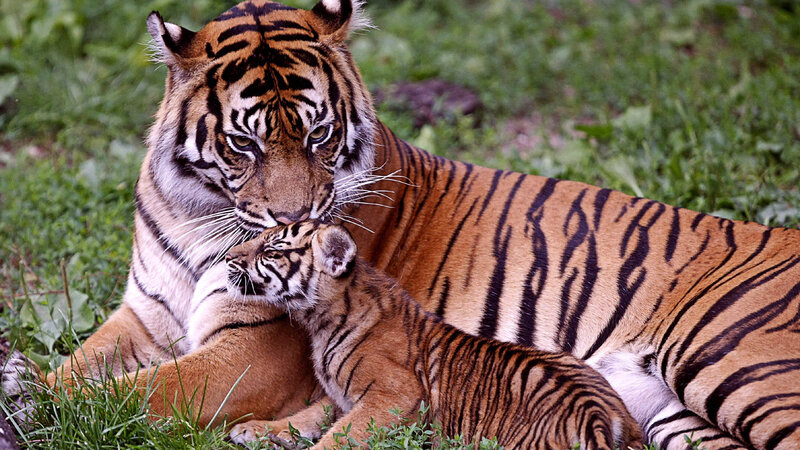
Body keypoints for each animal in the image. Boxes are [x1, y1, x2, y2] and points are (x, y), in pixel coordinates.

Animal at [201, 220, 642, 449]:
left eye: (271, 251)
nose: (229, 258)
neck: (320, 319)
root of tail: (599, 415)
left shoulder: (394, 395)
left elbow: (339, 436)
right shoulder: (340, 397)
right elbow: (308, 416)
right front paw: (256, 430)